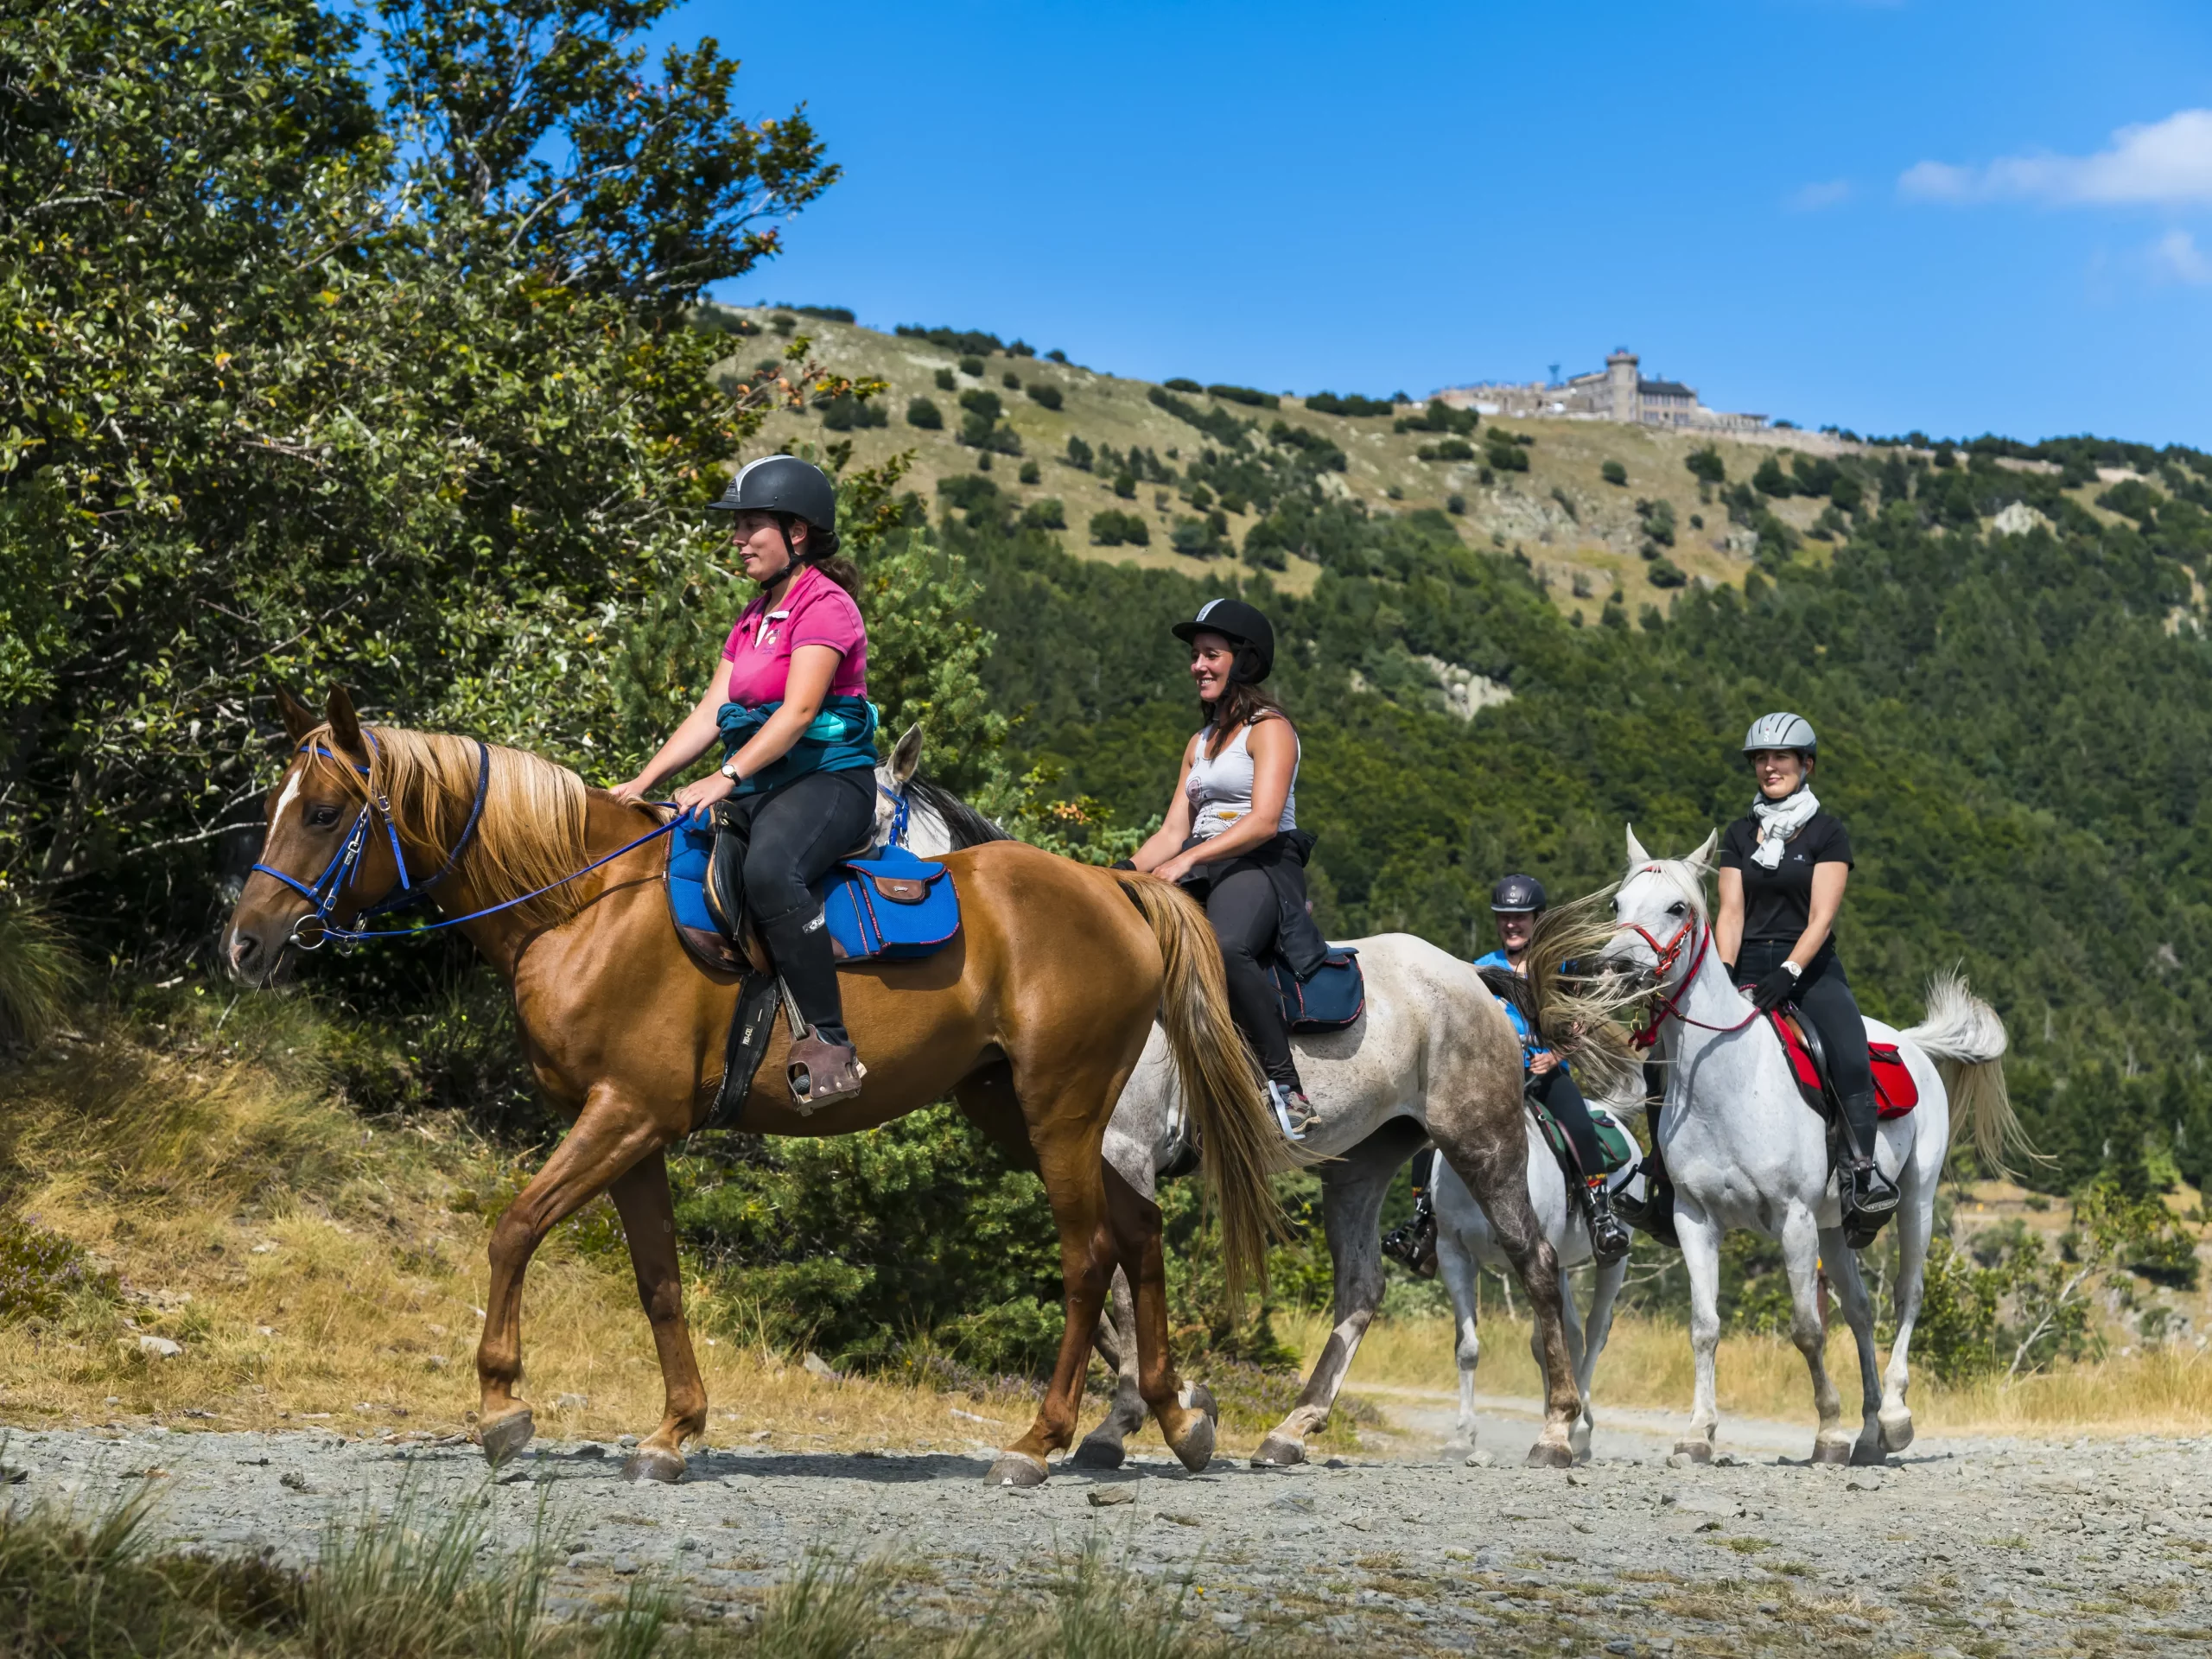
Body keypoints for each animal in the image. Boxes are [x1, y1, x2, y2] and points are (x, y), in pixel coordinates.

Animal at [219, 681, 1282, 1486]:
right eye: (275, 807)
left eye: (324, 813)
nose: (245, 945)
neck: (582, 904)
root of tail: (1115, 889)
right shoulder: (631, 1133)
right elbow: (657, 1279)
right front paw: (674, 1431)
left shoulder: (624, 1116)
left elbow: (514, 1228)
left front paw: (500, 1406)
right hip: (1015, 1111)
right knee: (1138, 1235)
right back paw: (1177, 1421)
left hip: (1059, 1111)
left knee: (1089, 1255)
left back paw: (1036, 1443)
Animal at [867, 739, 1592, 1468]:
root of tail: (1470, 977)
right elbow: (1107, 1293)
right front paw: (1182, 1398)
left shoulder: (1123, 1152)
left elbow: (1121, 1283)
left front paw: (1123, 1421)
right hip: (1360, 1165)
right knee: (1361, 1289)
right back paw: (1293, 1427)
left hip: (1481, 1139)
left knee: (1537, 1264)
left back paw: (1557, 1430)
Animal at [1433, 1084, 1645, 1459]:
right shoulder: (1453, 1255)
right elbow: (1468, 1349)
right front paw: (1461, 1438)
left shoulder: (1535, 1253)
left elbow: (1544, 1341)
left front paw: (1559, 1427)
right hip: (1561, 1265)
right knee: (1572, 1334)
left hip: (1614, 1259)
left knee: (1595, 1331)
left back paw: (1580, 1430)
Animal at [1601, 827, 2017, 1468]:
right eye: (1618, 904)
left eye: (1676, 908)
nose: (1618, 968)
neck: (1726, 1081)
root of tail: (1907, 1042)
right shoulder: (1694, 1218)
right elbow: (1705, 1326)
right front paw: (1698, 1434)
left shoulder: (1793, 1218)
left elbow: (1806, 1328)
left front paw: (1828, 1433)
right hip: (1834, 1225)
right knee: (1861, 1311)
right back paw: (1871, 1432)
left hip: (1915, 1202)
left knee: (1907, 1296)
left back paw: (1894, 1417)